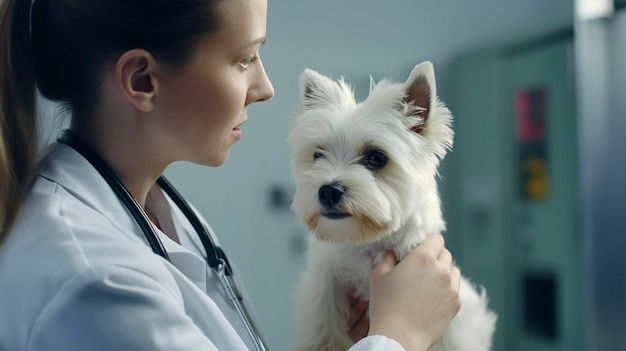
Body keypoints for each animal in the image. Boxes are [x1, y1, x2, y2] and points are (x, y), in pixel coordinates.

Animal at [288, 62, 498, 350]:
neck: (370, 243)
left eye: (377, 157)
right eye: (318, 155)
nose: (328, 190)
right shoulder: (324, 286)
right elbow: (322, 332)